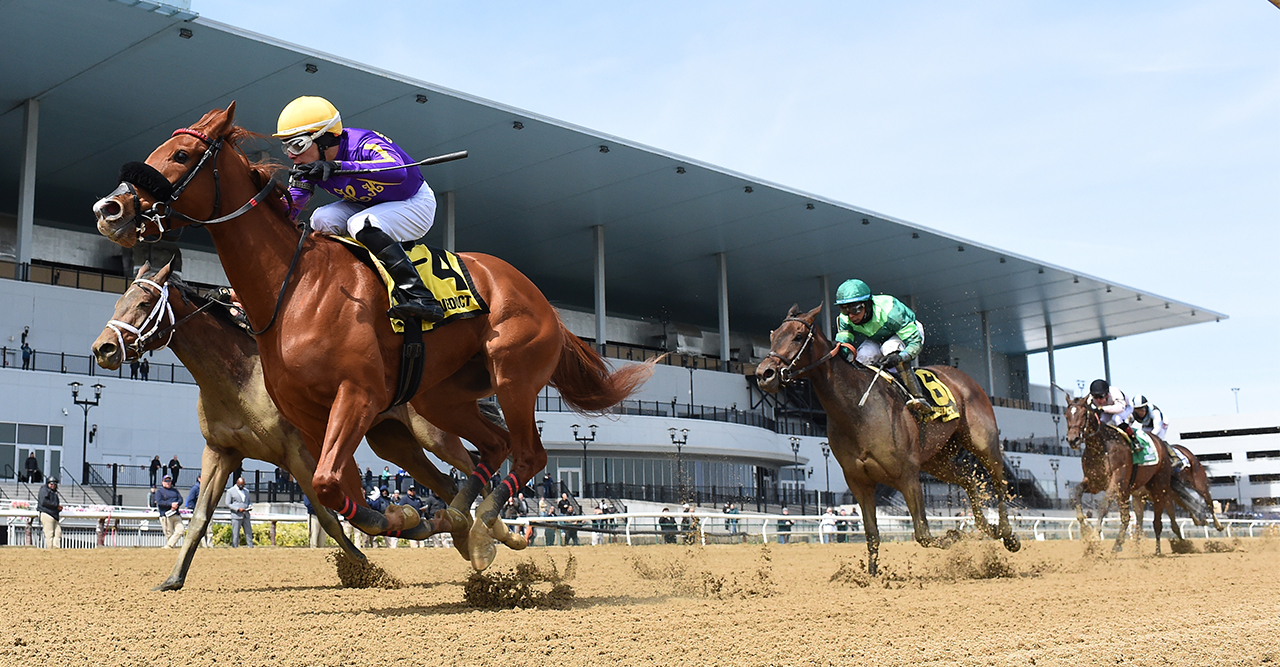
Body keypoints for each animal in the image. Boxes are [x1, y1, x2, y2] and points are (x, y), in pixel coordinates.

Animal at [88, 261, 481, 588]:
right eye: (118, 301)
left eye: (144, 302)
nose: (102, 349)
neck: (242, 378)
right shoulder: (220, 451)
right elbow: (199, 519)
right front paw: (172, 579)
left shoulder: (298, 453)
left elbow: (330, 518)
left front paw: (365, 568)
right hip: (393, 442)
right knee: (446, 483)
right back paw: (464, 536)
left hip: (434, 435)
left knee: (471, 468)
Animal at [752, 304, 1013, 573]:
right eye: (773, 336)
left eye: (798, 336)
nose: (764, 374)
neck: (857, 411)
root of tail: (963, 378)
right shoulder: (859, 481)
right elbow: (872, 533)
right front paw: (870, 575)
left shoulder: (907, 475)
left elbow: (923, 533)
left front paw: (954, 535)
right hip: (936, 460)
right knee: (968, 479)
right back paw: (989, 528)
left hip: (983, 443)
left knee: (999, 482)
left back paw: (1007, 534)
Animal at [1059, 396, 1177, 553]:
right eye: (1066, 415)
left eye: (1084, 414)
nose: (1073, 440)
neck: (1101, 447)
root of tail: (1160, 443)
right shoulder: (1094, 482)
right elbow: (1077, 491)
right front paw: (1085, 530)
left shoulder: (1115, 481)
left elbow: (1103, 506)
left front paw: (1094, 536)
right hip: (1125, 492)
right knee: (1126, 518)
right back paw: (1117, 546)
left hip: (1158, 487)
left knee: (1157, 520)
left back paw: (1158, 550)